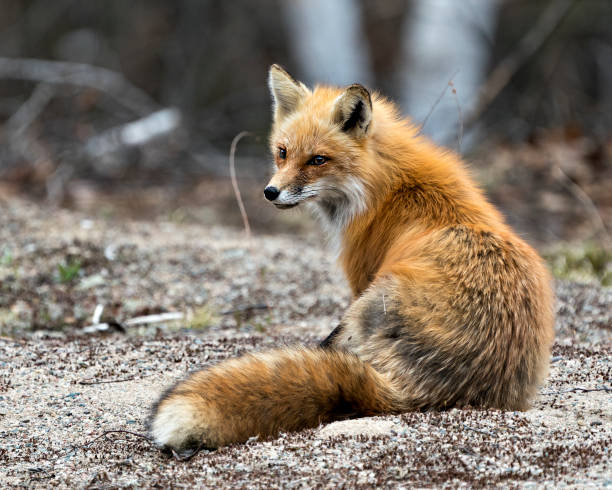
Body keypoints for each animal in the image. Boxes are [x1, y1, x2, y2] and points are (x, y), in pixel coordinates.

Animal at [148, 65, 556, 456]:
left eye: (318, 160)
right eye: (282, 152)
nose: (271, 192)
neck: (385, 187)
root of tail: (428, 392)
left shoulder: (360, 277)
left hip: (371, 301)